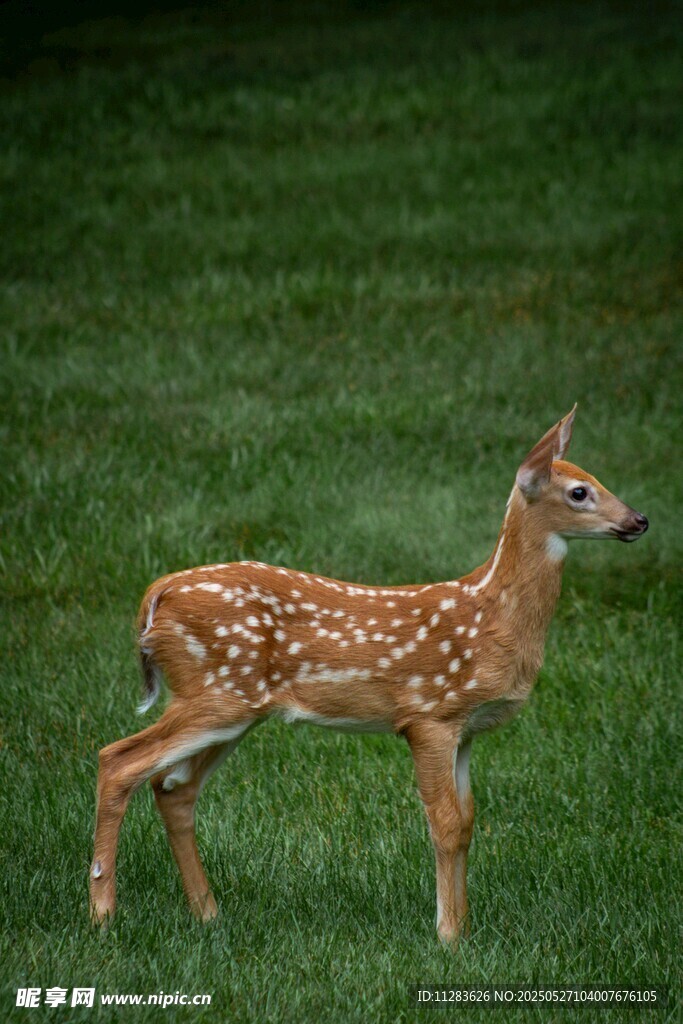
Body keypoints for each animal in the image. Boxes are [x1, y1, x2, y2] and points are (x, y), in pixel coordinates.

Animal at [90, 407, 648, 944]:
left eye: (596, 477)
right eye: (579, 491)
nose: (639, 519)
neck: (492, 616)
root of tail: (157, 595)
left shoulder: (466, 729)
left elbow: (468, 822)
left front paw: (464, 929)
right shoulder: (429, 714)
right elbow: (445, 824)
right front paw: (448, 937)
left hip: (233, 707)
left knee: (173, 787)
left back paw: (207, 915)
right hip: (216, 690)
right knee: (118, 759)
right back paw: (103, 914)